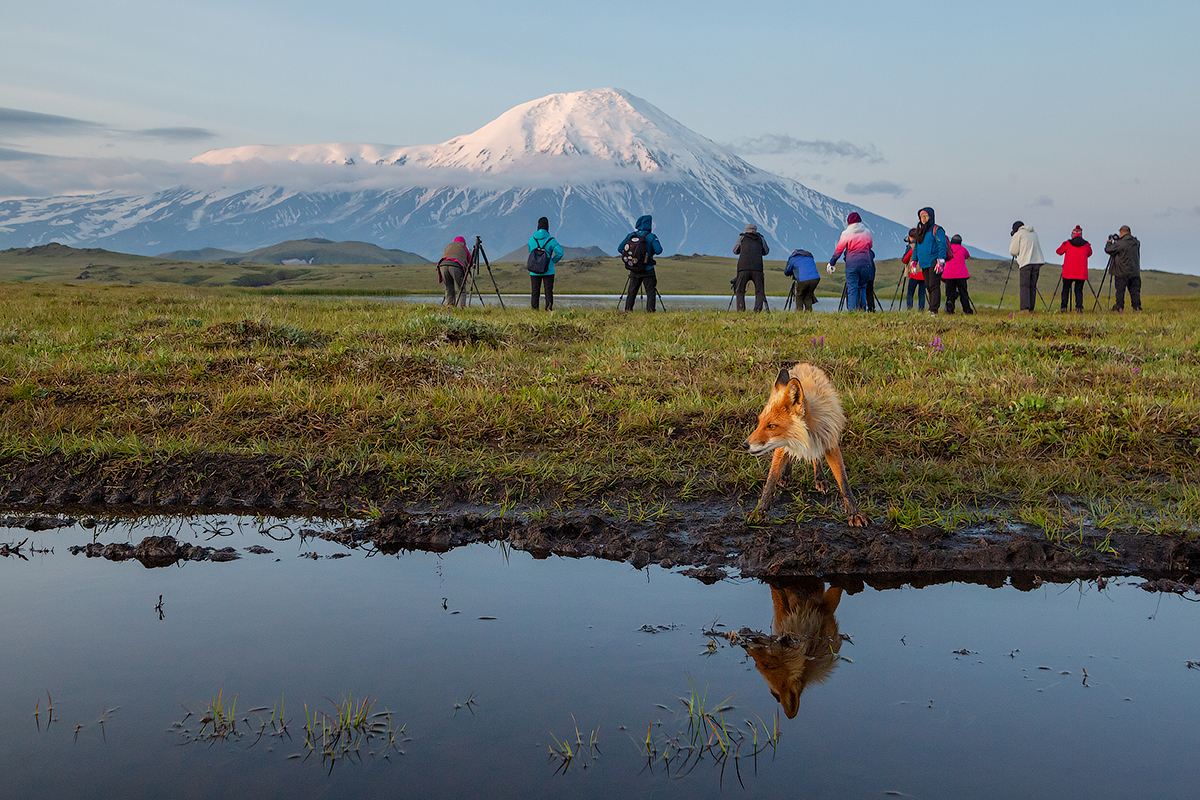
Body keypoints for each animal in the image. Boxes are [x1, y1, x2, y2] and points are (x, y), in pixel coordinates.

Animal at [734, 362, 868, 525]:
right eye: (759, 423)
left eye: (771, 426)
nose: (744, 445)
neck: (807, 435)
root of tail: (803, 364)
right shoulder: (782, 445)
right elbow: (770, 482)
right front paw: (760, 512)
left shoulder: (830, 443)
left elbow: (844, 483)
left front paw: (854, 513)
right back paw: (786, 475)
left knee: (816, 458)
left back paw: (819, 478)